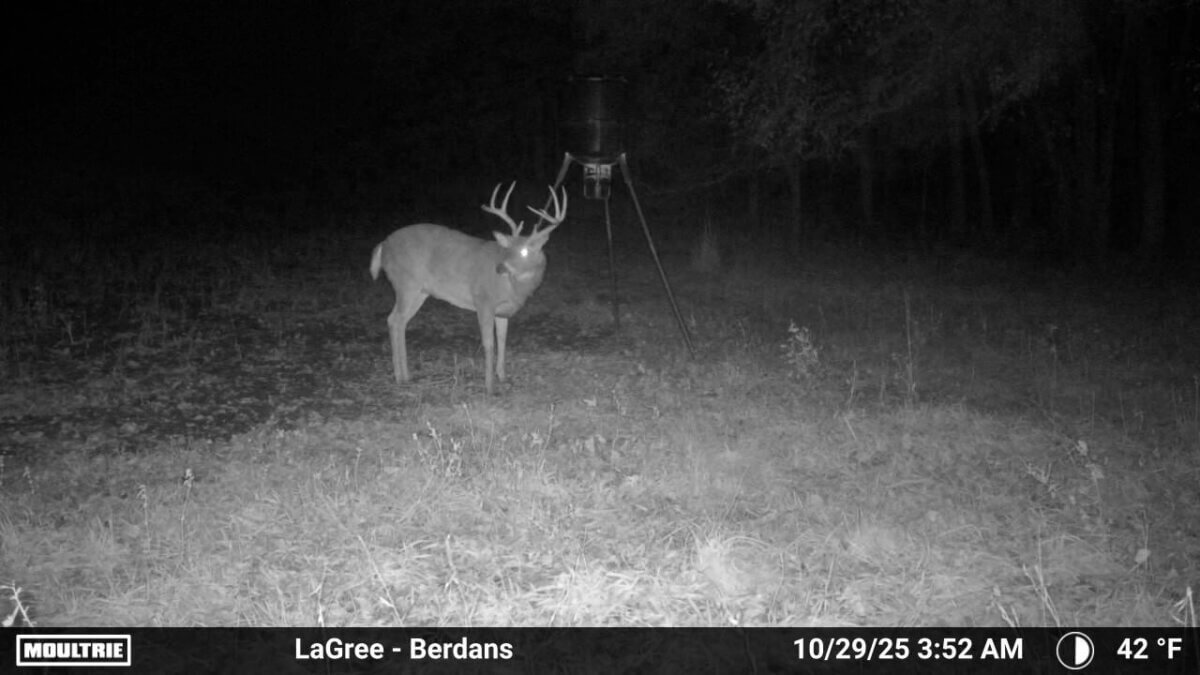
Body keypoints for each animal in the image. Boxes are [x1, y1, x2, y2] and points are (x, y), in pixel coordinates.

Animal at [369, 182, 567, 395]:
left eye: (523, 251)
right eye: (507, 249)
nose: (499, 268)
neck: (513, 287)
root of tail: (383, 245)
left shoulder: (503, 310)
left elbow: (503, 339)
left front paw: (502, 376)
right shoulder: (483, 300)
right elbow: (489, 343)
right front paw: (489, 386)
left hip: (420, 291)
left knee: (400, 321)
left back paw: (406, 375)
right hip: (405, 283)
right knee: (393, 319)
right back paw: (399, 377)